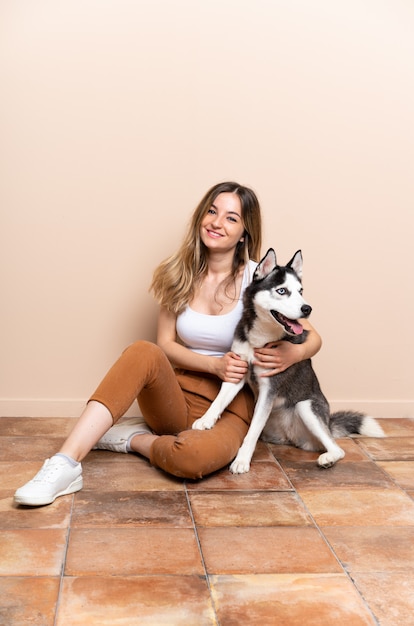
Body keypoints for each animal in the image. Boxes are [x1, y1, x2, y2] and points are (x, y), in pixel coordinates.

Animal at [192, 246, 384, 470]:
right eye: (282, 291)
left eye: (301, 291)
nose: (307, 309)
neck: (261, 338)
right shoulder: (238, 369)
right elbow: (219, 401)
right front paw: (205, 420)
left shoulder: (269, 389)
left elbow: (252, 431)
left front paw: (242, 460)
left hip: (306, 406)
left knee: (338, 448)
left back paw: (328, 458)